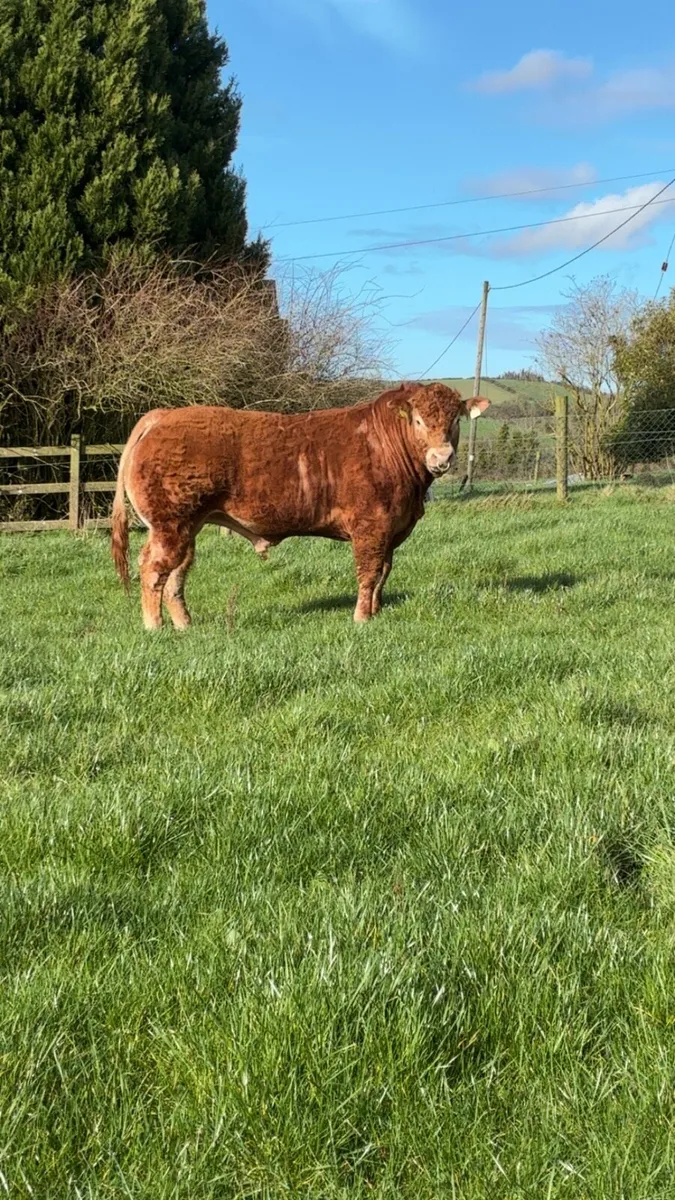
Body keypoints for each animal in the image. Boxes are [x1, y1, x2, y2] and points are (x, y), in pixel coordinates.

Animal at [111, 382, 490, 629]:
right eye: (419, 421)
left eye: (456, 420)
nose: (442, 457)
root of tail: (163, 416)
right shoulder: (371, 525)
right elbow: (369, 572)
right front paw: (362, 618)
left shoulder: (393, 530)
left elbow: (384, 572)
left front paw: (377, 612)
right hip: (170, 523)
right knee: (153, 569)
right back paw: (154, 626)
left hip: (188, 525)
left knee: (177, 574)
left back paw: (185, 624)